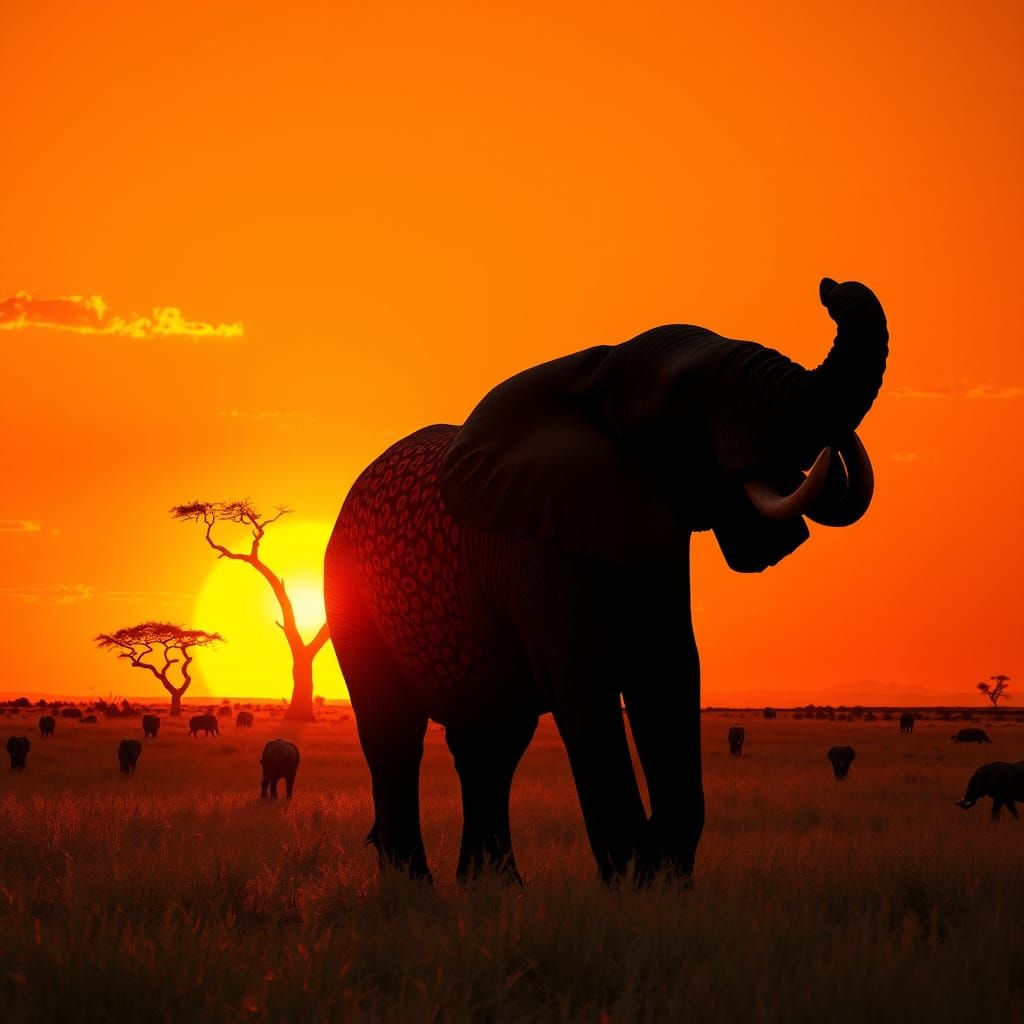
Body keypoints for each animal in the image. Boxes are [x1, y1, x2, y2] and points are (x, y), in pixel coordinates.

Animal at [325, 278, 888, 883]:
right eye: (684, 403)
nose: (831, 286)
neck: (601, 369)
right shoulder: (534, 544)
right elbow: (585, 678)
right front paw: (634, 879)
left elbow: (669, 671)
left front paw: (663, 881)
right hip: (351, 602)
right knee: (396, 735)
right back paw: (417, 889)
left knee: (492, 746)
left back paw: (494, 888)